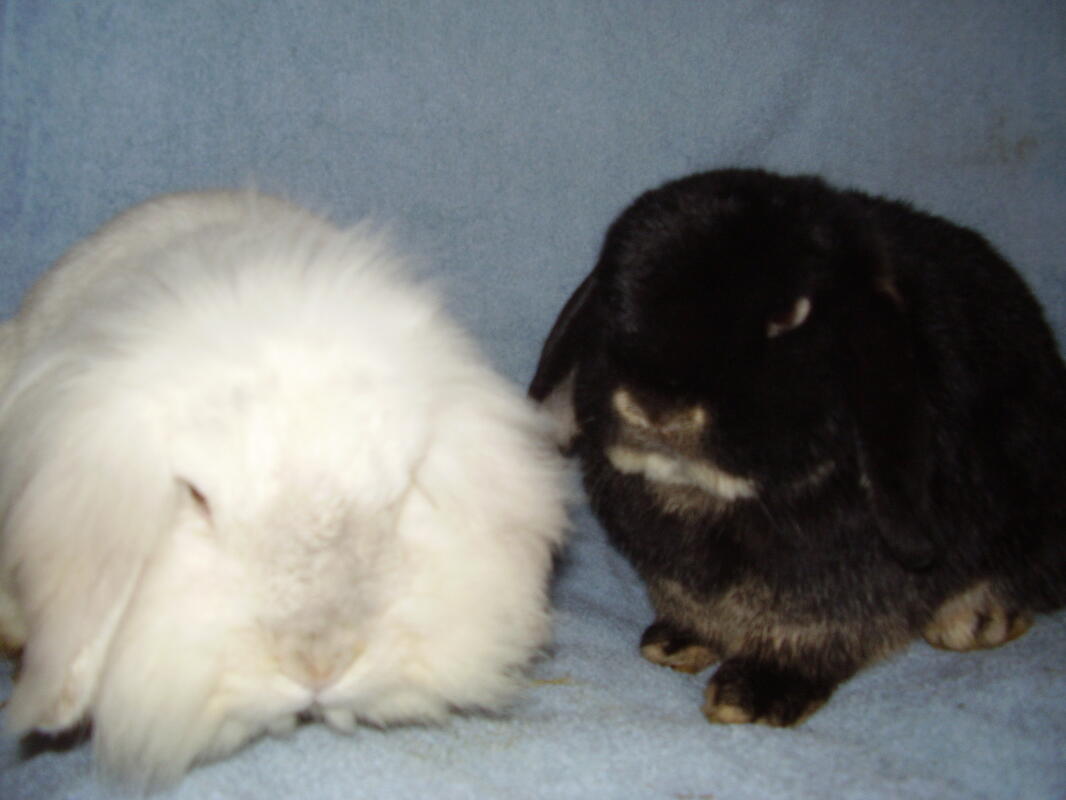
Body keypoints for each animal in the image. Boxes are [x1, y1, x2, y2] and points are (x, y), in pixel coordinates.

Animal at [529, 168, 1066, 727]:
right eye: (615, 302)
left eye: (789, 317)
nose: (656, 407)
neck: (707, 498)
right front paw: (674, 644)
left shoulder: (840, 586)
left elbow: (815, 630)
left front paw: (752, 694)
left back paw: (977, 621)